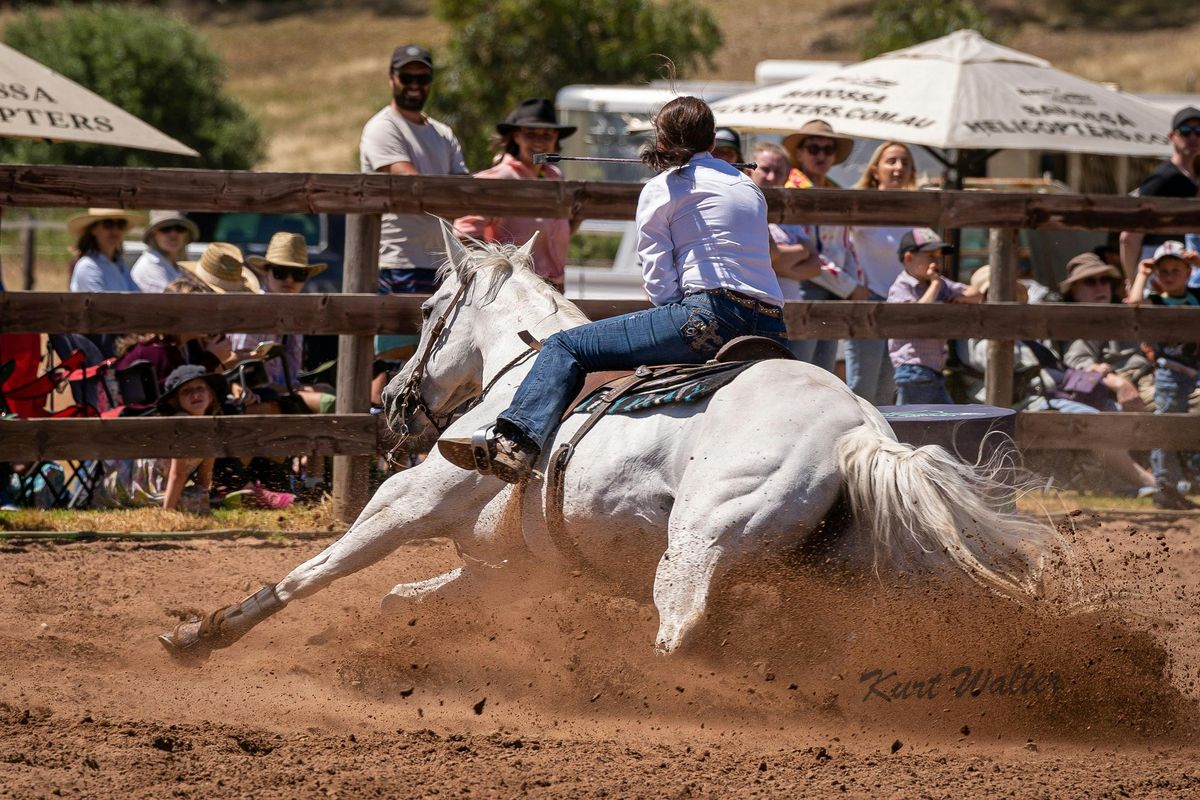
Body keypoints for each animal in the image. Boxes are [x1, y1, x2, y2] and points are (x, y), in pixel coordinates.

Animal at [159, 227, 1060, 662]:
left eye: (428, 311)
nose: (393, 403)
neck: (519, 374)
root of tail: (858, 432)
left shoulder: (401, 505)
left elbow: (311, 574)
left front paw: (200, 637)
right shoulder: (504, 565)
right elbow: (406, 597)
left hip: (699, 543)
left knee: (680, 631)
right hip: (837, 574)